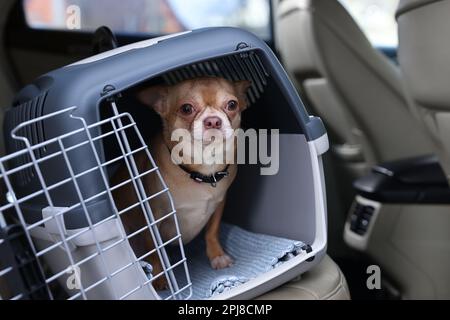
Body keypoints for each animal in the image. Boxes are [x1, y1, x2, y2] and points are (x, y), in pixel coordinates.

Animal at [112, 77, 250, 290]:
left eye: (232, 105)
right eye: (186, 108)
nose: (213, 120)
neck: (203, 169)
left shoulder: (219, 204)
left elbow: (212, 231)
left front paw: (217, 256)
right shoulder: (152, 220)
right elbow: (155, 251)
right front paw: (160, 278)